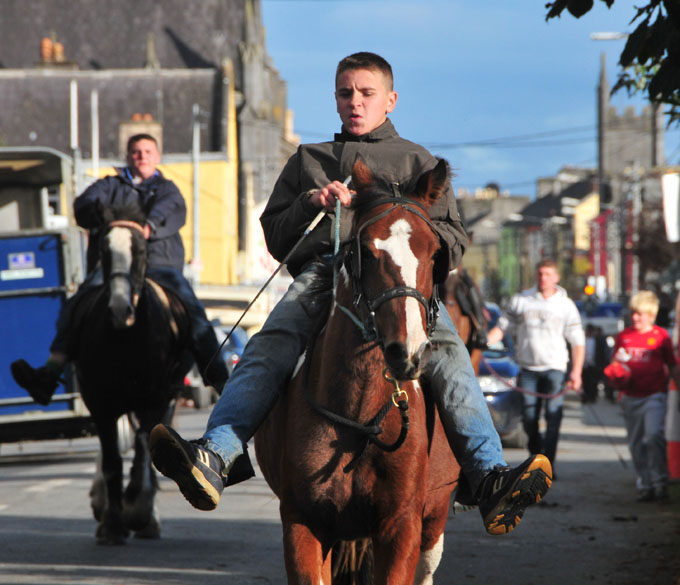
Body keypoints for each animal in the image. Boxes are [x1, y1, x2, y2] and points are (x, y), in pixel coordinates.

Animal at [256, 156, 462, 584]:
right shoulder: (304, 523)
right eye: (366, 250)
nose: (407, 351)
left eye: (435, 252)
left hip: (433, 521)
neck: (359, 416)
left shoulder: (401, 526)